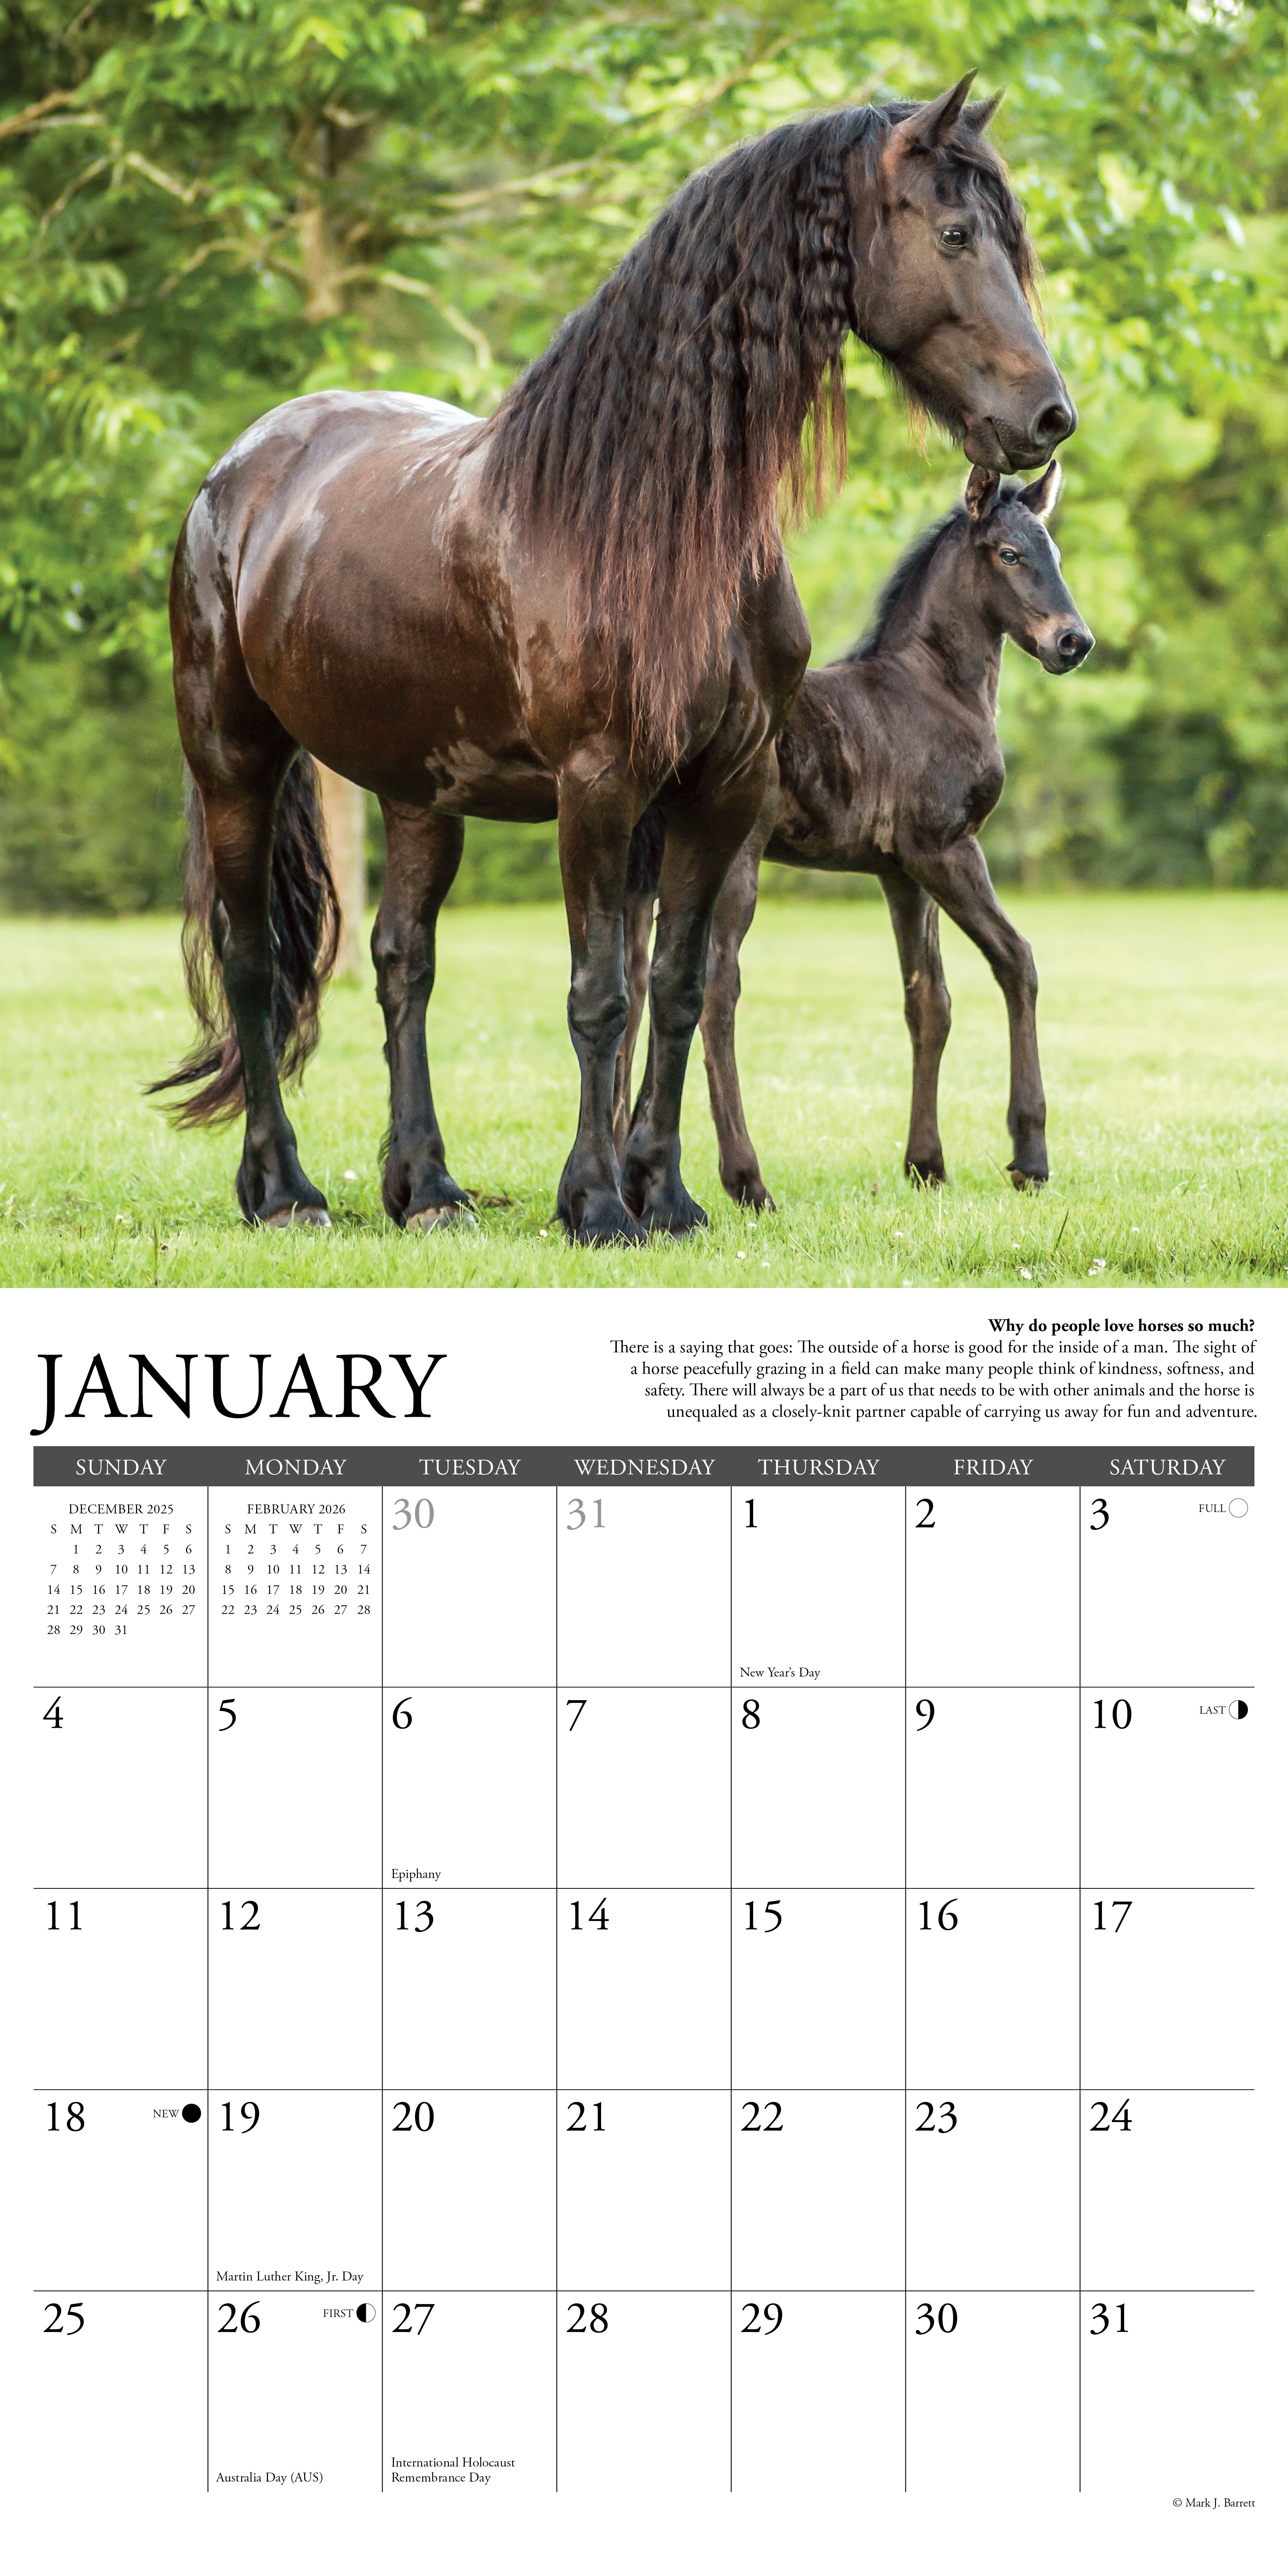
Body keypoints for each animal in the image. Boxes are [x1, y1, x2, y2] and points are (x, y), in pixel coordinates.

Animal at [616, 462, 1094, 1199]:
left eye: (1058, 555)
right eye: (1010, 555)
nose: (1073, 642)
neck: (936, 688)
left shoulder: (903, 874)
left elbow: (929, 1003)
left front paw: (925, 1163)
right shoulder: (946, 848)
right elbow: (1017, 962)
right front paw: (1030, 1154)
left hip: (651, 867)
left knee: (638, 985)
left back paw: (628, 1180)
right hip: (736, 858)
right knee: (716, 991)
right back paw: (745, 1178)